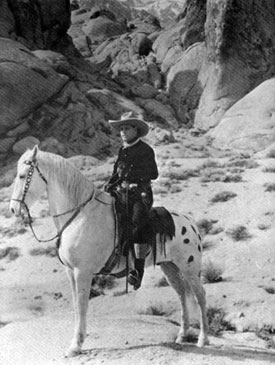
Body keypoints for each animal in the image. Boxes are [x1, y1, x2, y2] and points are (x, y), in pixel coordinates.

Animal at [10, 145, 209, 356]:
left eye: (22, 176)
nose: (13, 209)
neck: (80, 215)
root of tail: (191, 223)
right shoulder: (70, 271)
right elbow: (76, 306)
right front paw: (75, 341)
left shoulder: (83, 272)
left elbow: (82, 306)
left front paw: (76, 346)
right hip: (169, 267)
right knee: (182, 294)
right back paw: (181, 336)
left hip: (190, 269)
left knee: (200, 296)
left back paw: (203, 339)